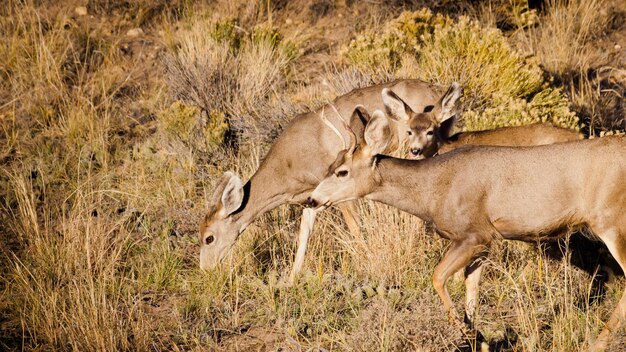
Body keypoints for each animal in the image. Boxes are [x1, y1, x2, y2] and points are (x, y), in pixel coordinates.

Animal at [200, 79, 464, 284]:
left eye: (208, 238)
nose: (205, 269)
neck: (288, 166)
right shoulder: (312, 198)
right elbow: (304, 233)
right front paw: (292, 279)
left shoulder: (339, 189)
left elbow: (355, 229)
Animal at [308, 108, 624, 352]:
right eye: (330, 165)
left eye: (342, 172)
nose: (313, 200)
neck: (432, 191)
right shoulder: (485, 241)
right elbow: (471, 287)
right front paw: (478, 338)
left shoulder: (473, 234)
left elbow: (438, 277)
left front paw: (466, 334)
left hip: (610, 219)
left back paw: (599, 342)